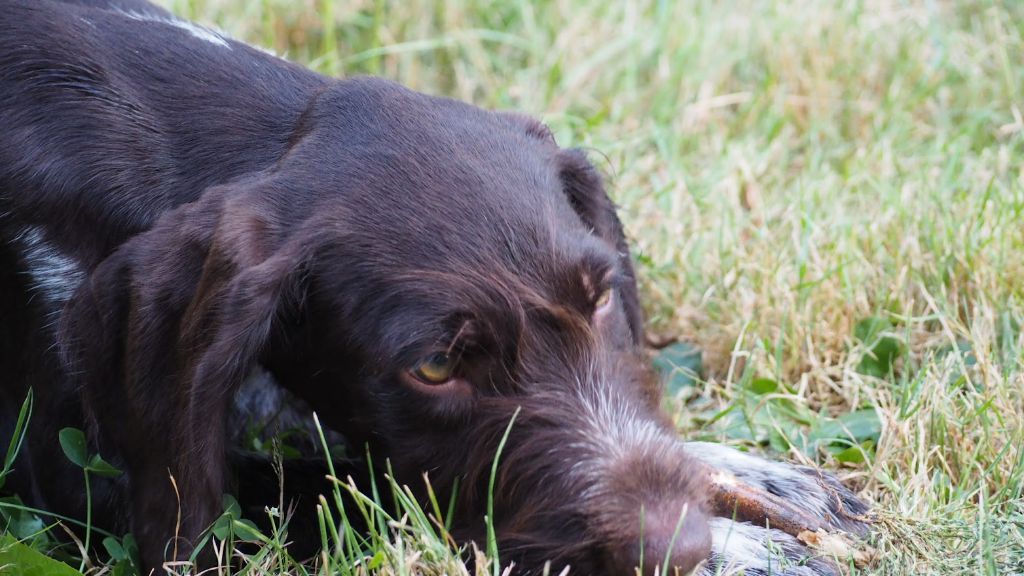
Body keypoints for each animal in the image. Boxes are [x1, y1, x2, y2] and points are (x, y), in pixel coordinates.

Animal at [2, 1, 864, 573]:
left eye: (601, 299)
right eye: (436, 368)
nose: (680, 547)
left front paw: (744, 473)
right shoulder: (83, 483)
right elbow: (353, 496)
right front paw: (736, 546)